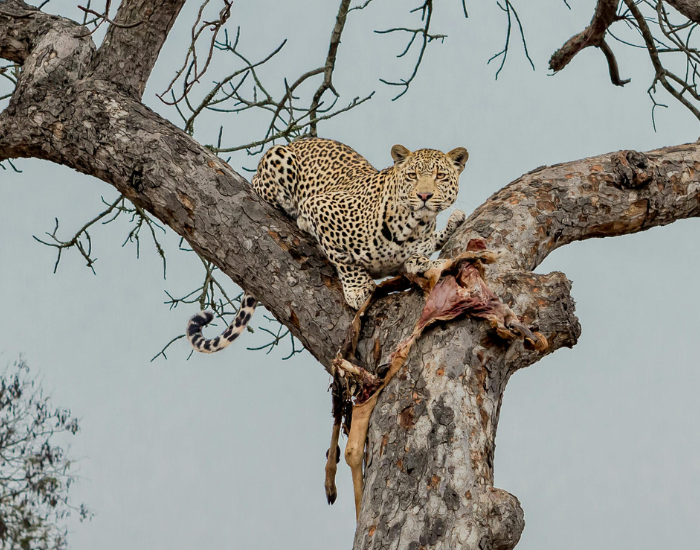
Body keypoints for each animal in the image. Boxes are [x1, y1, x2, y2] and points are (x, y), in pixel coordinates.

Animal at [187, 137, 469, 353]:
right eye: (412, 175)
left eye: (440, 176)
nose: (424, 195)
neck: (413, 225)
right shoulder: (321, 206)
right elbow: (344, 260)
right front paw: (358, 288)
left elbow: (418, 258)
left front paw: (431, 258)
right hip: (278, 156)